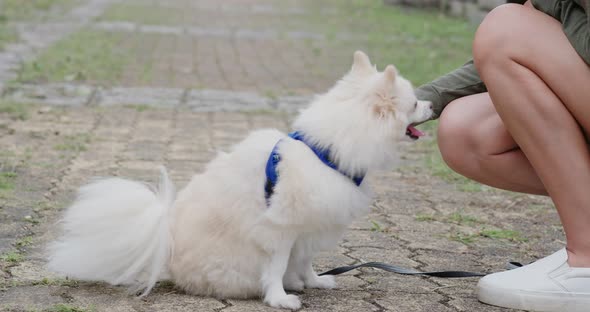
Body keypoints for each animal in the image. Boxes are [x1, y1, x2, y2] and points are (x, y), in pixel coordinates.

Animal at [47, 51, 434, 310]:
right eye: (414, 103)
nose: (432, 105)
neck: (325, 151)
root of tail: (164, 237)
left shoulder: (308, 227)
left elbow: (306, 260)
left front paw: (313, 281)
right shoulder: (281, 228)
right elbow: (277, 266)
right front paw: (280, 298)